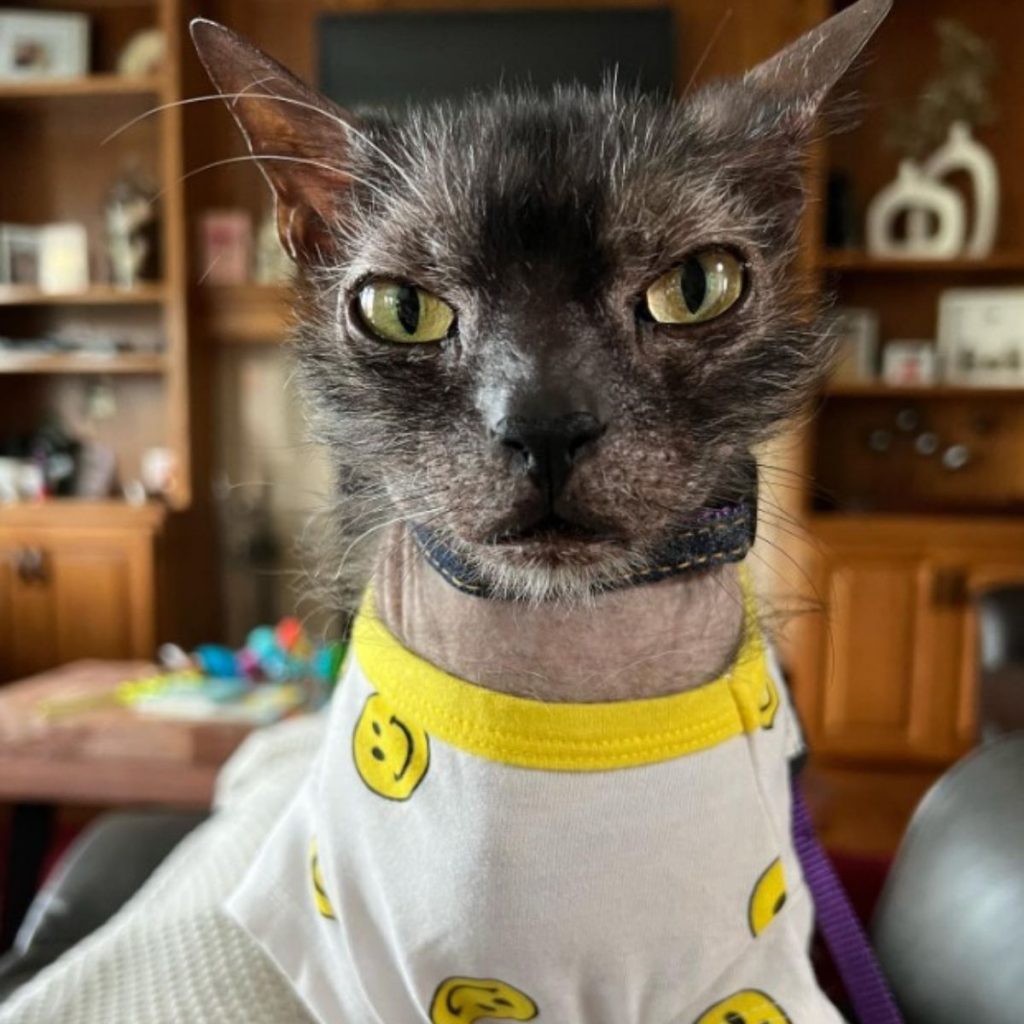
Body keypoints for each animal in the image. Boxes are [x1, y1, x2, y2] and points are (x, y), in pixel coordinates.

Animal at [188, 2, 892, 1024]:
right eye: (401, 309)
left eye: (695, 287)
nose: (546, 426)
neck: (564, 686)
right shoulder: (372, 968)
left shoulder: (747, 980)